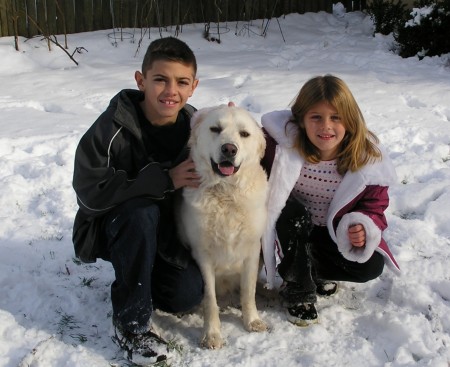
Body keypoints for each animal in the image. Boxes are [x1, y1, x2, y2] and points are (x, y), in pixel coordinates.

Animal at [178, 105, 268, 350]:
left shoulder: (252, 250)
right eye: (215, 129)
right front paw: (212, 334)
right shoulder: (203, 255)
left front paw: (252, 320)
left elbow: (248, 291)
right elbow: (210, 299)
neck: (226, 194)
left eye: (244, 134)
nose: (229, 149)